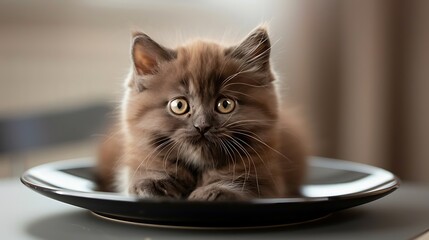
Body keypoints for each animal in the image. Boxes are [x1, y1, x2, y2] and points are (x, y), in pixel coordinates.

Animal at [96, 26, 308, 201]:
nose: (202, 126)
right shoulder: (138, 160)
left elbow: (243, 183)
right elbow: (142, 176)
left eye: (225, 104)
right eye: (179, 105)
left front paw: (214, 192)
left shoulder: (267, 179)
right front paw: (154, 184)